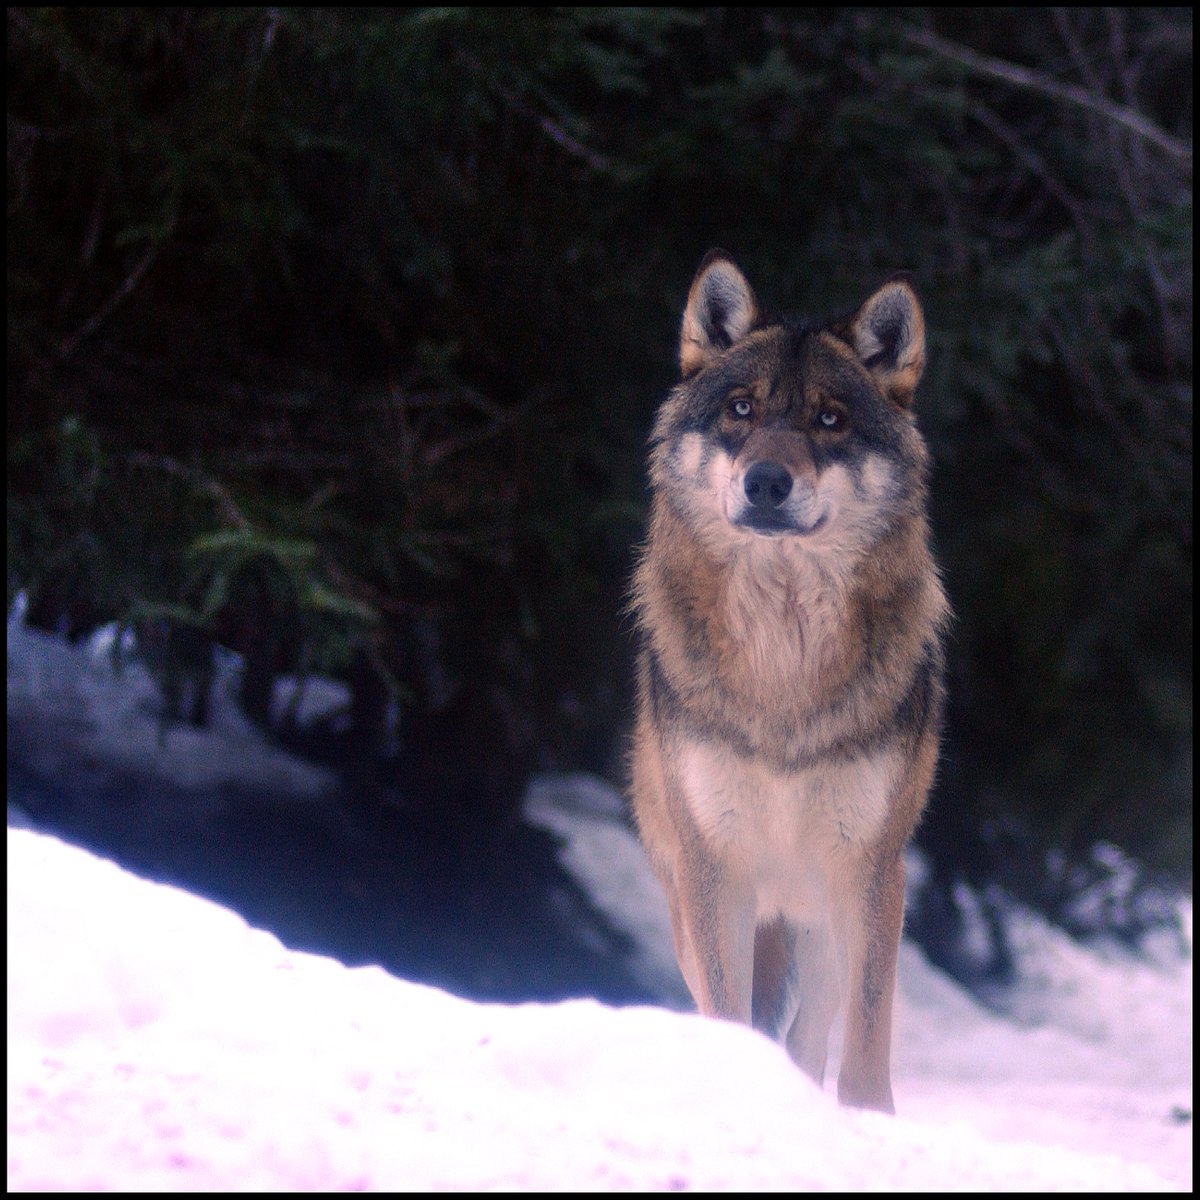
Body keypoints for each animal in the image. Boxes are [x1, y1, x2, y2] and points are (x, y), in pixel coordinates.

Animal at [633, 248, 950, 1108]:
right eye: (740, 410)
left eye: (830, 420)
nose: (767, 482)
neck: (782, 666)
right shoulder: (715, 872)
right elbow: (728, 1015)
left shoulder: (869, 875)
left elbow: (866, 1043)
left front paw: (867, 1122)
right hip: (692, 901)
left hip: (820, 923)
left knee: (811, 1036)